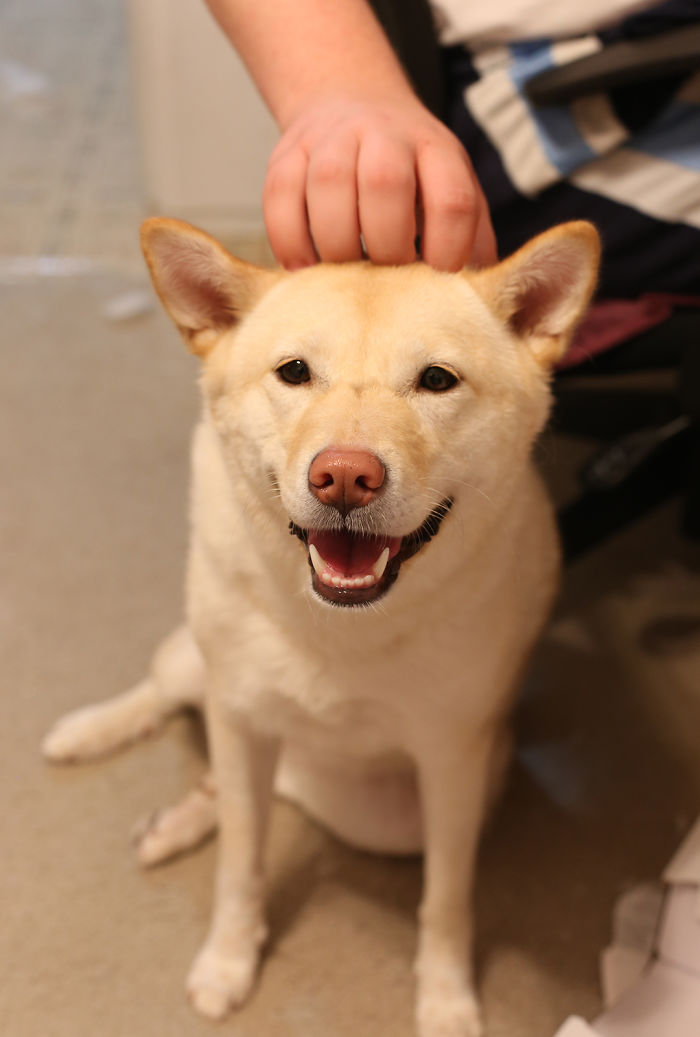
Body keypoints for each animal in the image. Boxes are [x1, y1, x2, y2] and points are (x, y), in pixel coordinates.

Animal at [45, 216, 597, 1028]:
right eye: (295, 372)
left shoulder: (453, 761)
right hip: (204, 674)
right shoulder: (239, 715)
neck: (339, 627)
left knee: (249, 790)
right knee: (169, 699)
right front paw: (229, 958)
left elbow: (446, 898)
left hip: (386, 809)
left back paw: (188, 813)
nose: (343, 476)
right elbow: (240, 867)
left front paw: (445, 996)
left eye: (437, 380)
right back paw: (90, 734)